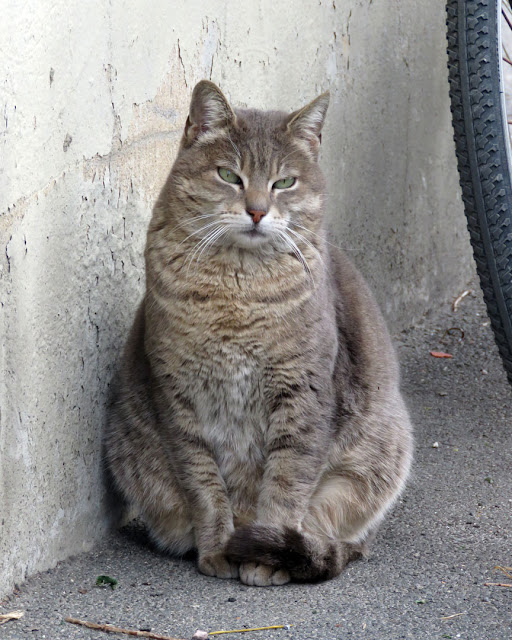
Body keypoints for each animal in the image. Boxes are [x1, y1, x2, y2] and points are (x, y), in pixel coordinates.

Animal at [106, 80, 414, 584]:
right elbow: (204, 485)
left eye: (284, 182)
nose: (256, 211)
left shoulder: (304, 394)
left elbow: (286, 483)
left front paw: (264, 555)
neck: (239, 291)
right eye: (229, 175)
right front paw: (217, 550)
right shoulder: (178, 398)